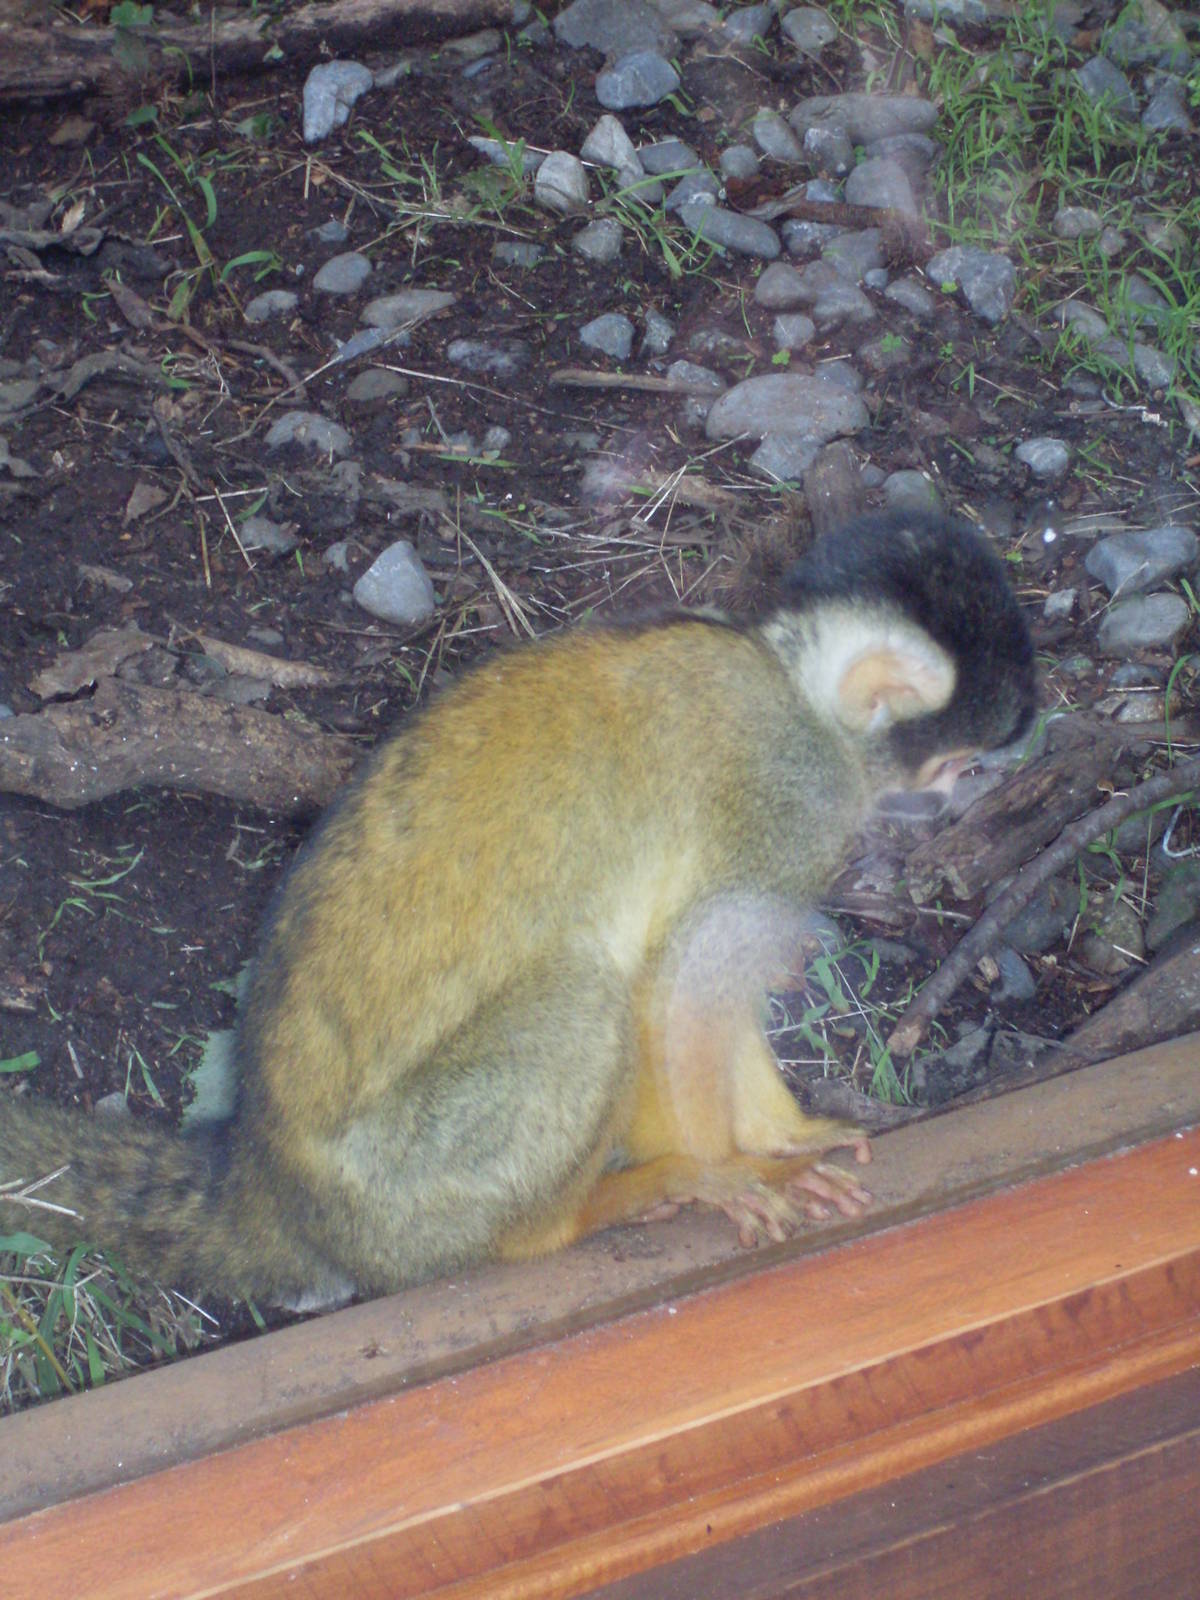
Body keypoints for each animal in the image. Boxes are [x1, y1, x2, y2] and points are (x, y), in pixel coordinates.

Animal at [0, 511, 1036, 1309]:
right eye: (961, 760)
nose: (959, 797)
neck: (788, 683)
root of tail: (270, 1186)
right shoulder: (790, 799)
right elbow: (681, 983)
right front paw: (732, 1168)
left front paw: (784, 1137)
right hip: (413, 1189)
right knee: (588, 995)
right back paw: (572, 1219)